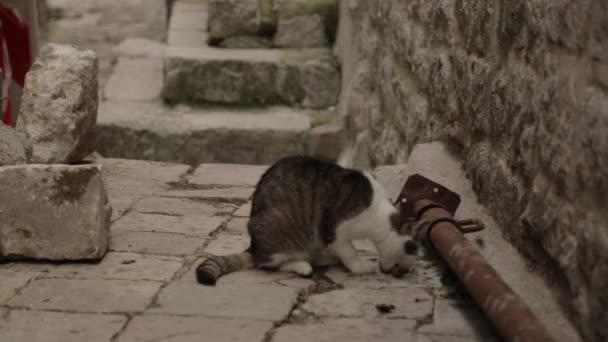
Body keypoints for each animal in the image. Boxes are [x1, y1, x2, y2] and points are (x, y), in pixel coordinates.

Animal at [196, 156, 418, 286]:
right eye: (411, 250)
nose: (404, 273)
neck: (377, 210)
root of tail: (253, 246)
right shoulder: (334, 230)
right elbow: (350, 253)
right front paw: (361, 267)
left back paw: (324, 257)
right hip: (278, 228)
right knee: (267, 263)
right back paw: (301, 265)